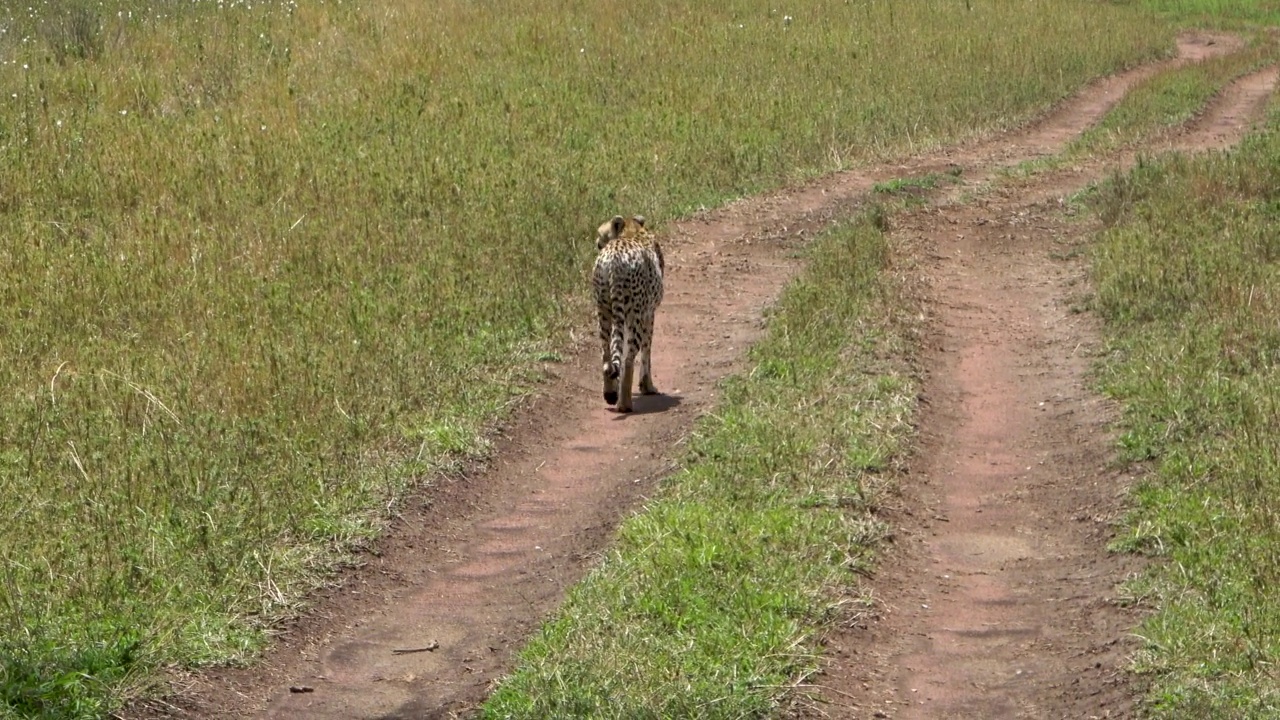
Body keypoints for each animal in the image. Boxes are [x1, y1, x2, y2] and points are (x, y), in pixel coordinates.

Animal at [591, 212, 665, 412]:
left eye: (600, 233)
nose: (596, 242)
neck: (632, 231)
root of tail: (614, 259)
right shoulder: (649, 314)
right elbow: (647, 350)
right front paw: (647, 386)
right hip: (634, 316)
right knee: (628, 359)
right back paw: (624, 403)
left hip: (604, 311)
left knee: (606, 356)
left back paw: (610, 394)